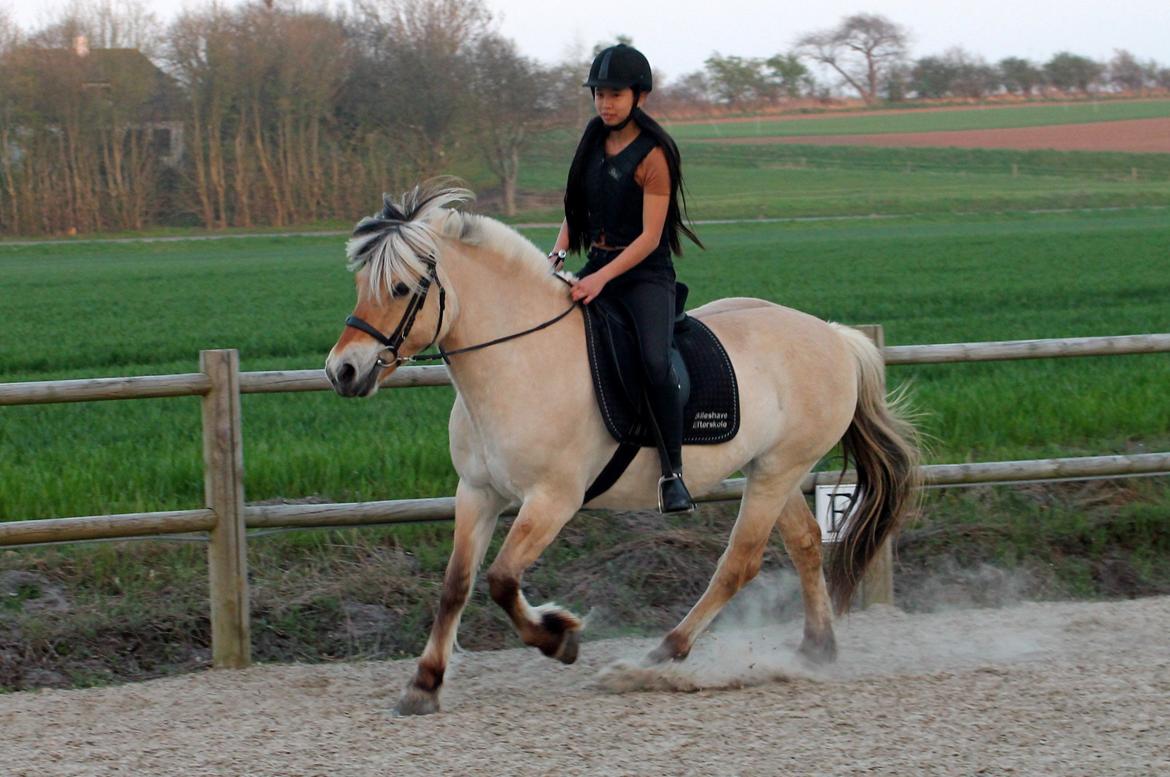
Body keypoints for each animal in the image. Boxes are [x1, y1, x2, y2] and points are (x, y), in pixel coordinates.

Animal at [325, 182, 917, 716]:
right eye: (358, 283)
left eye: (401, 289)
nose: (342, 371)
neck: (520, 362)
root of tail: (834, 335)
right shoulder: (477, 491)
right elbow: (456, 585)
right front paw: (424, 684)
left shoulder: (553, 499)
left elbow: (502, 580)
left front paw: (560, 637)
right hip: (773, 470)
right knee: (805, 542)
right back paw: (815, 648)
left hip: (778, 470)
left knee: (740, 561)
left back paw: (660, 655)